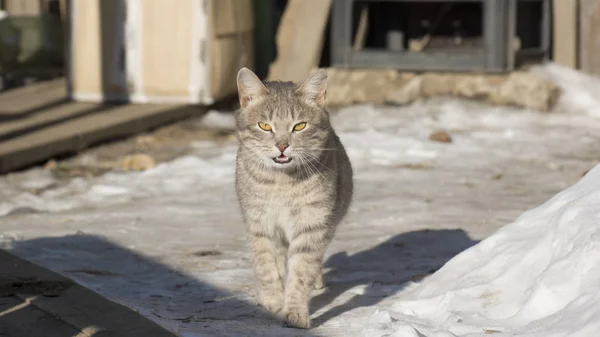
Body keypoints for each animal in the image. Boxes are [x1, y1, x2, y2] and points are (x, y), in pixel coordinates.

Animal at [234, 67, 354, 326]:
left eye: (299, 126)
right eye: (264, 126)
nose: (281, 146)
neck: (281, 184)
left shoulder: (312, 224)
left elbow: (301, 271)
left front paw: (295, 311)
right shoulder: (260, 225)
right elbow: (266, 266)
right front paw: (272, 300)